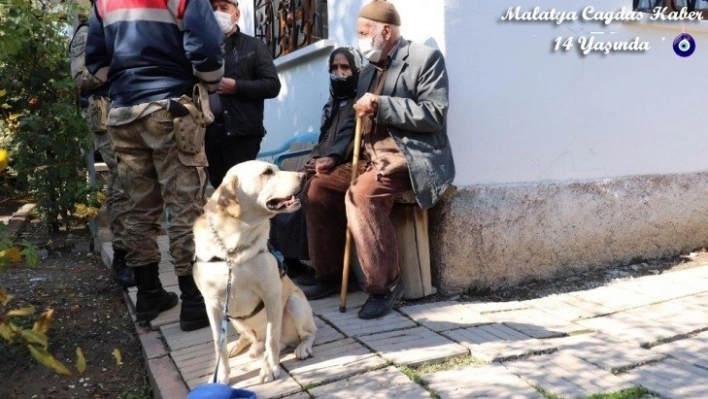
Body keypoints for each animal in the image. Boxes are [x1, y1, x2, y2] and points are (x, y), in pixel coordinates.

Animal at [192, 161, 316, 386]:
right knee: (247, 338)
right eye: (267, 172)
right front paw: (221, 375)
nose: (303, 175)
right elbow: (218, 346)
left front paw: (270, 369)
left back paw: (302, 347)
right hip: (233, 319)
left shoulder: (272, 294)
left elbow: (272, 338)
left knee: (305, 334)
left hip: (295, 303)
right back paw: (237, 345)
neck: (233, 249)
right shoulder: (212, 305)